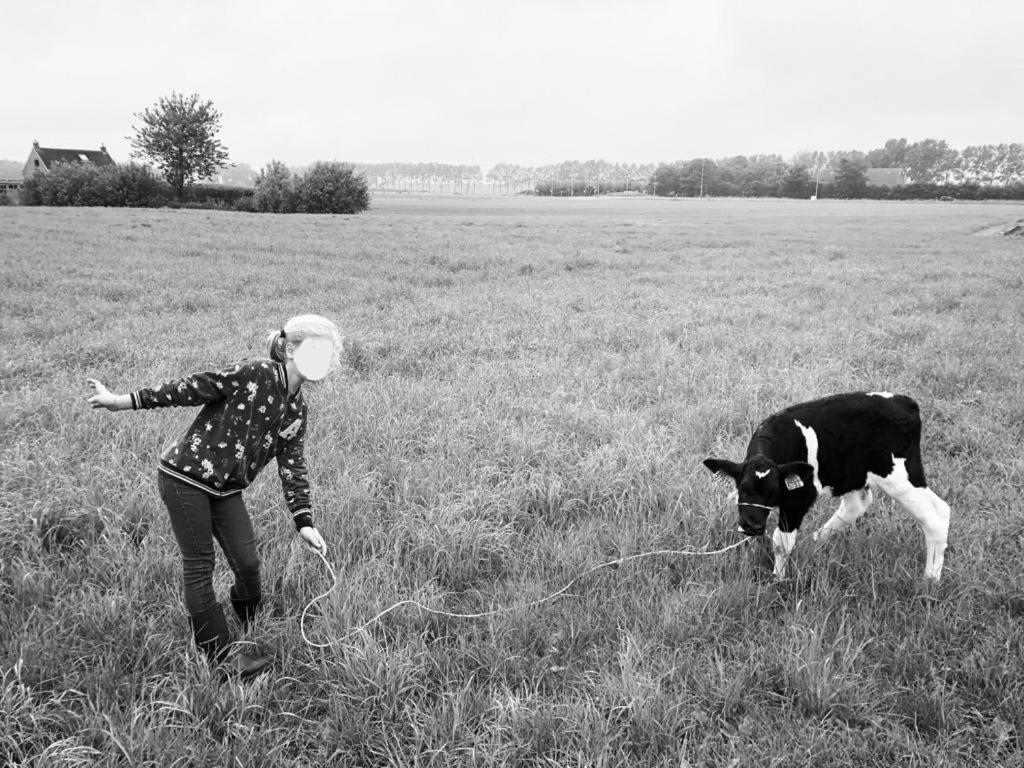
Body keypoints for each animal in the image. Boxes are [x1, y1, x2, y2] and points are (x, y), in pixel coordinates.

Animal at [704, 393, 950, 581]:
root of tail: (903, 401)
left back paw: (931, 579)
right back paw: (815, 541)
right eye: (742, 488)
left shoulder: (798, 498)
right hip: (853, 474)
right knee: (855, 505)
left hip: (901, 477)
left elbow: (781, 542)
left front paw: (778, 580)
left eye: (774, 492)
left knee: (937, 514)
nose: (752, 526)